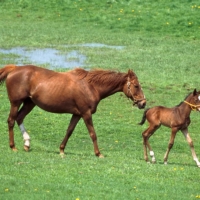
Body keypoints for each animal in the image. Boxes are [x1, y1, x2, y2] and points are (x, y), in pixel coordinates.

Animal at [0, 65, 145, 157]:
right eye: (136, 86)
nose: (143, 103)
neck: (91, 86)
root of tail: (14, 69)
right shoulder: (86, 114)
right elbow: (93, 134)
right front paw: (98, 153)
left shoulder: (76, 114)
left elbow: (69, 131)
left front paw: (61, 150)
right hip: (16, 103)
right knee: (11, 120)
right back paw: (13, 146)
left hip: (29, 103)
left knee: (19, 118)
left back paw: (27, 143)